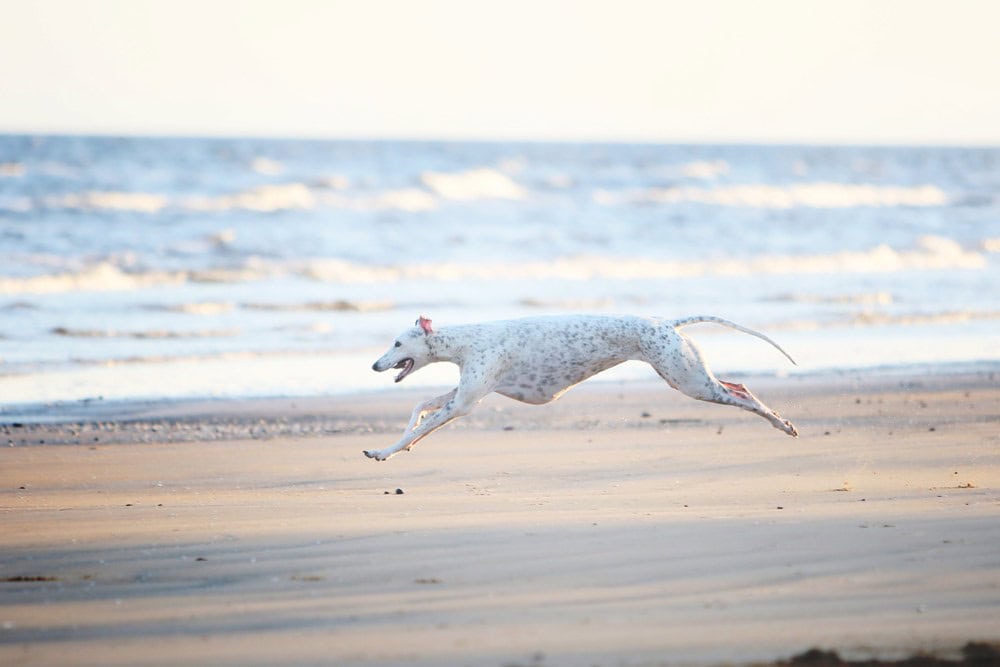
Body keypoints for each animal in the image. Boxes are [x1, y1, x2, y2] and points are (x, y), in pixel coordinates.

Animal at [366, 316, 796, 462]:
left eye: (397, 343)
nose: (374, 365)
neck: (467, 340)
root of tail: (668, 325)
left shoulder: (464, 404)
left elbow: (423, 423)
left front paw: (385, 451)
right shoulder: (466, 394)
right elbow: (420, 409)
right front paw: (402, 443)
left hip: (689, 380)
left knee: (743, 396)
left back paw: (784, 424)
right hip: (689, 374)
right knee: (739, 385)